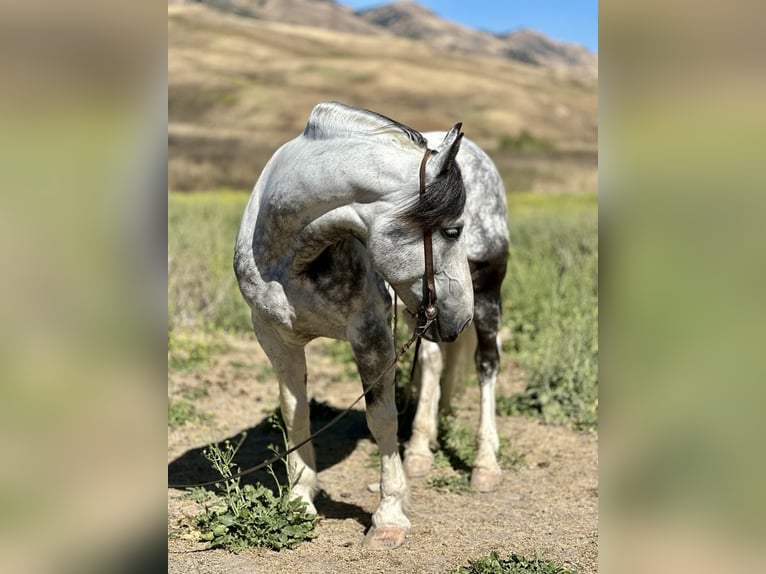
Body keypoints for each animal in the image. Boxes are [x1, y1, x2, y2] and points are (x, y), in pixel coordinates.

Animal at [234, 101, 474, 549]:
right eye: (453, 230)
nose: (463, 316)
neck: (291, 259)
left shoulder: (370, 335)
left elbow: (381, 418)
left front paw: (390, 516)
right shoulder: (275, 339)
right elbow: (294, 412)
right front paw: (300, 499)